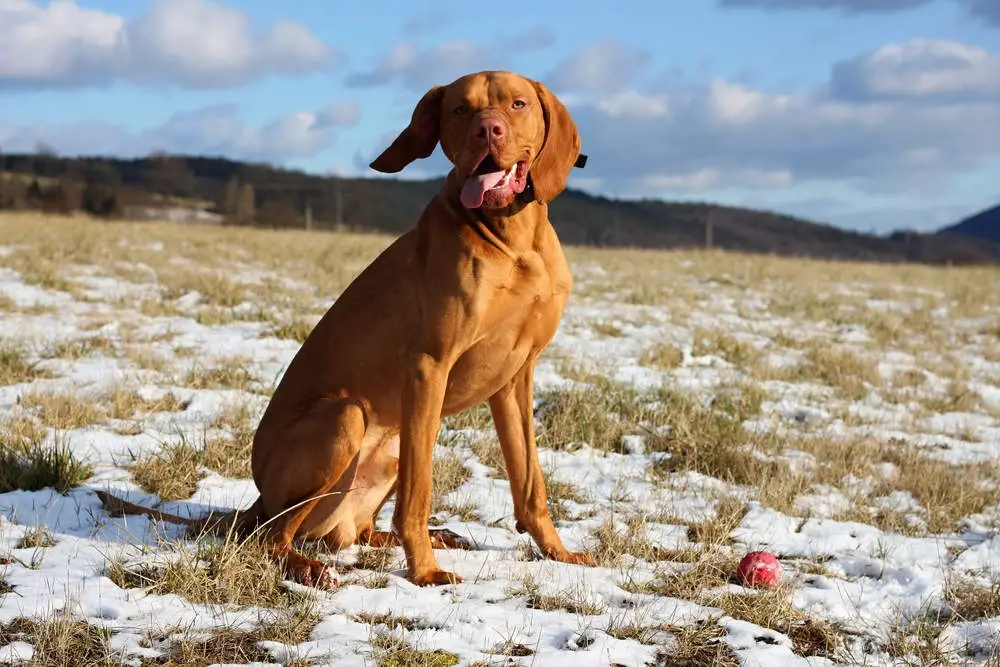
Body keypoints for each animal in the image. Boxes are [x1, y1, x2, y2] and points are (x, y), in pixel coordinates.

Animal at [99, 70, 592, 588]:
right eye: (461, 109)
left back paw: (425, 537)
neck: (514, 243)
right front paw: (424, 572)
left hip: (389, 446)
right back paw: (309, 567)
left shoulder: (515, 378)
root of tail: (257, 500)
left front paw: (558, 552)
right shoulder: (428, 367)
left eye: (518, 104)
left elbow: (530, 482)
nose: (488, 131)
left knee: (353, 531)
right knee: (270, 538)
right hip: (345, 419)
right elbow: (419, 492)